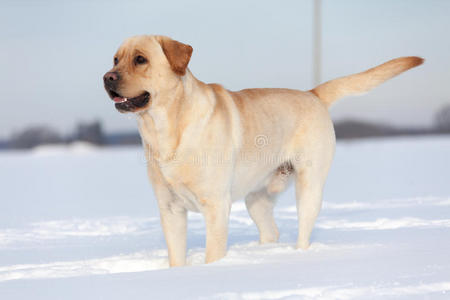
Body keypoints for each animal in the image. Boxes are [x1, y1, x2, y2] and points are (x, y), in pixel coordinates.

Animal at [103, 34, 422, 266]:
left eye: (140, 59)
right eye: (116, 59)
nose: (107, 77)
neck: (165, 129)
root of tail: (313, 94)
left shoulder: (216, 206)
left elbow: (212, 253)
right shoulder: (170, 209)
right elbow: (176, 257)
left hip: (309, 187)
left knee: (303, 231)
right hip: (256, 198)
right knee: (271, 231)